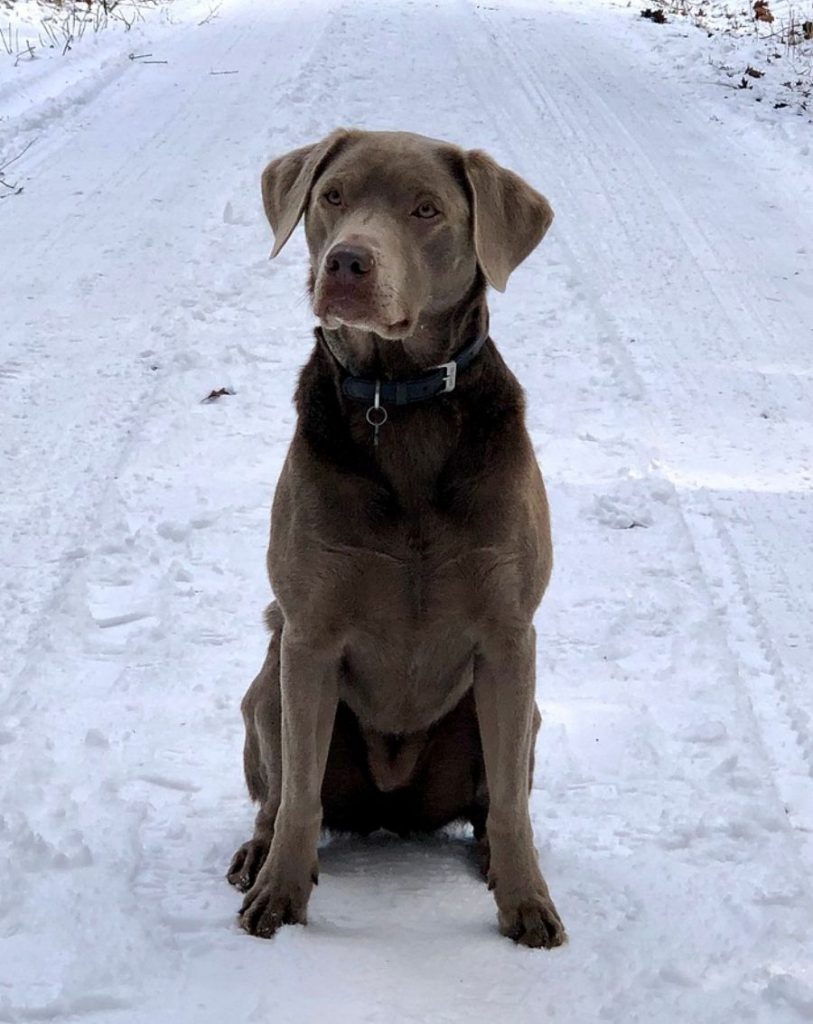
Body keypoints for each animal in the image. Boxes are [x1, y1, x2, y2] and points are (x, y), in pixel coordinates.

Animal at [226, 130, 565, 950]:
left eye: (426, 210)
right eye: (332, 196)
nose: (347, 262)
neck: (400, 404)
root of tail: (392, 811)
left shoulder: (509, 635)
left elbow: (512, 806)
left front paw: (527, 903)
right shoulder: (311, 634)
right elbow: (300, 799)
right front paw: (281, 896)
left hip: (519, 711)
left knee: (494, 800)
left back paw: (491, 861)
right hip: (267, 682)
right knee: (280, 793)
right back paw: (256, 855)